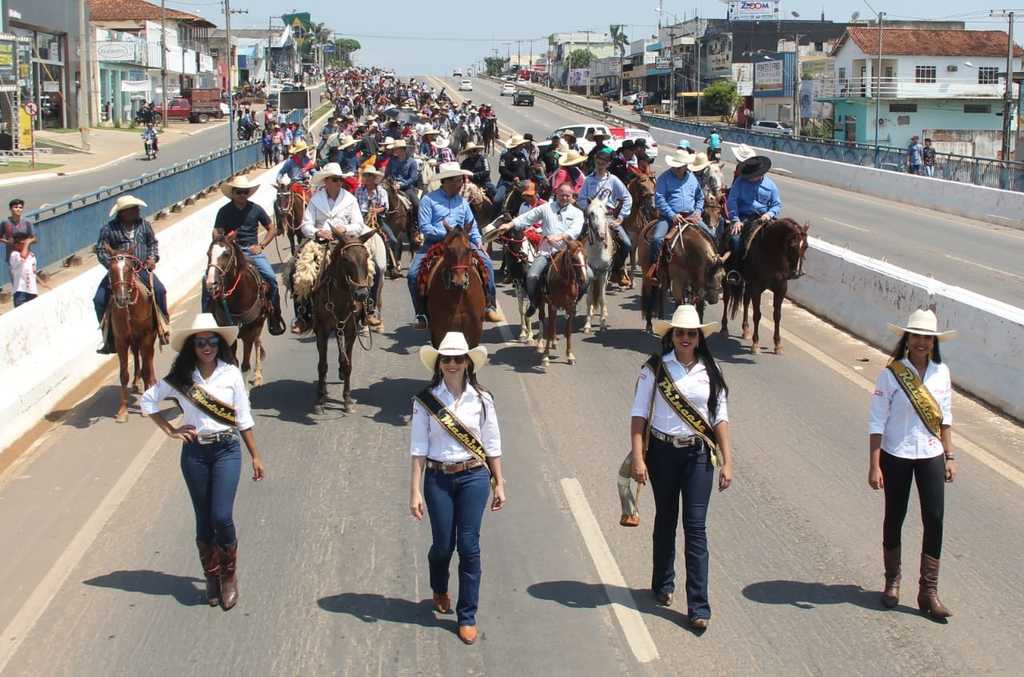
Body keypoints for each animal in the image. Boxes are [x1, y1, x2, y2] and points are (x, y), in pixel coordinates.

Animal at [103, 245, 155, 419]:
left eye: (129, 269)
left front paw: (146, 407)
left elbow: (147, 369)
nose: (122, 299)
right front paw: (123, 410)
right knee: (138, 357)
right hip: (133, 341)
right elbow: (123, 374)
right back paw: (136, 382)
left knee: (149, 360)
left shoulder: (146, 337)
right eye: (110, 270)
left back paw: (152, 382)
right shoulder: (121, 341)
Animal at [202, 232, 268, 387]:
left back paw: (258, 375)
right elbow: (233, 363)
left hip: (259, 324)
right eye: (208, 254)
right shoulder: (228, 335)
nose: (211, 284)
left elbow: (245, 365)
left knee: (257, 343)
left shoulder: (249, 334)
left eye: (226, 254)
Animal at [313, 232, 378, 411]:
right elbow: (322, 365)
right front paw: (320, 398)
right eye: (346, 259)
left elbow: (348, 364)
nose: (361, 294)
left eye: (366, 256)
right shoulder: (322, 330)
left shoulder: (350, 331)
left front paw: (347, 399)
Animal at [720, 218, 806, 356]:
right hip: (727, 278)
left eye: (806, 246)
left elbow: (777, 315)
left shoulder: (781, 289)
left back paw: (746, 330)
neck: (771, 254)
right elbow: (757, 315)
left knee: (746, 301)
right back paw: (724, 328)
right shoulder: (756, 288)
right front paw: (755, 344)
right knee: (727, 298)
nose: (798, 273)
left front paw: (778, 345)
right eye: (792, 245)